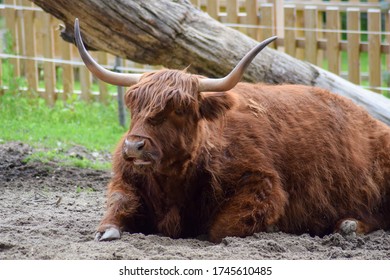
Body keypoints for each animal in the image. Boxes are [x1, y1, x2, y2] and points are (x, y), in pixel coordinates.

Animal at [75, 19, 390, 243]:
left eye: (179, 109)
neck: (173, 184)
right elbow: (116, 208)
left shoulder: (262, 183)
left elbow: (220, 229)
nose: (133, 147)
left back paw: (349, 224)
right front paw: (106, 230)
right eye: (133, 105)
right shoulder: (126, 181)